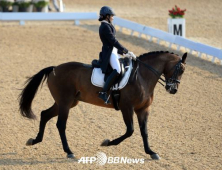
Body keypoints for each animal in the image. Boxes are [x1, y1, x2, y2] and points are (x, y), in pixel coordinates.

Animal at [18, 51, 187, 160]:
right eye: (180, 69)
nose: (173, 89)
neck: (142, 77)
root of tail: (54, 68)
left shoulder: (143, 109)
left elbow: (144, 132)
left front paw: (151, 152)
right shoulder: (127, 108)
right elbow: (130, 131)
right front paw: (107, 143)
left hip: (67, 102)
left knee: (44, 114)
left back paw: (34, 140)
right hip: (65, 103)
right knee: (60, 124)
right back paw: (69, 151)